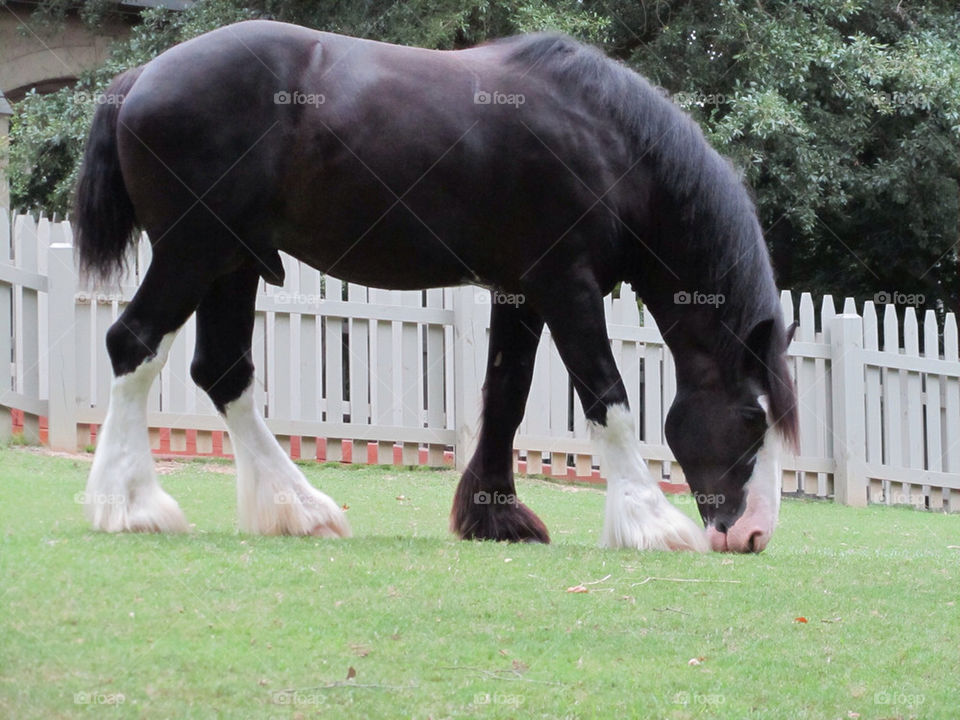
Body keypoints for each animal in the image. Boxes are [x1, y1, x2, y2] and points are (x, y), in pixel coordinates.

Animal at [73, 19, 798, 553]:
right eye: (752, 417)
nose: (754, 534)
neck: (605, 138)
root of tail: (139, 79)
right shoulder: (568, 284)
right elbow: (607, 396)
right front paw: (650, 521)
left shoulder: (519, 291)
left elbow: (506, 397)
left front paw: (496, 518)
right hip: (193, 252)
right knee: (131, 344)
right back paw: (130, 505)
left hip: (233, 262)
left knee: (223, 373)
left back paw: (299, 510)